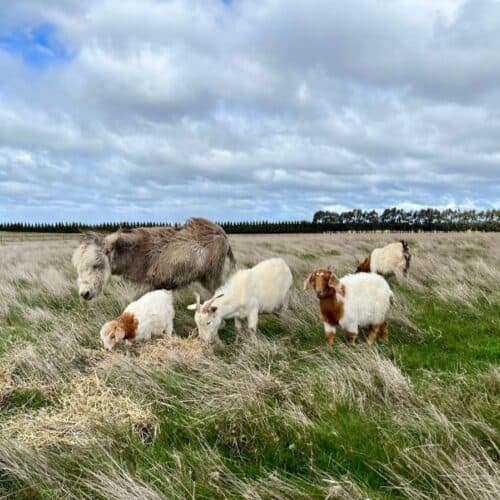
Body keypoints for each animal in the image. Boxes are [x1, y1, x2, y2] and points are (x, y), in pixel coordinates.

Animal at [72, 218, 236, 300]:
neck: (137, 252)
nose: (84, 294)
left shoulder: (144, 287)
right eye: (78, 268)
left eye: (97, 265)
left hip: (212, 276)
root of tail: (221, 233)